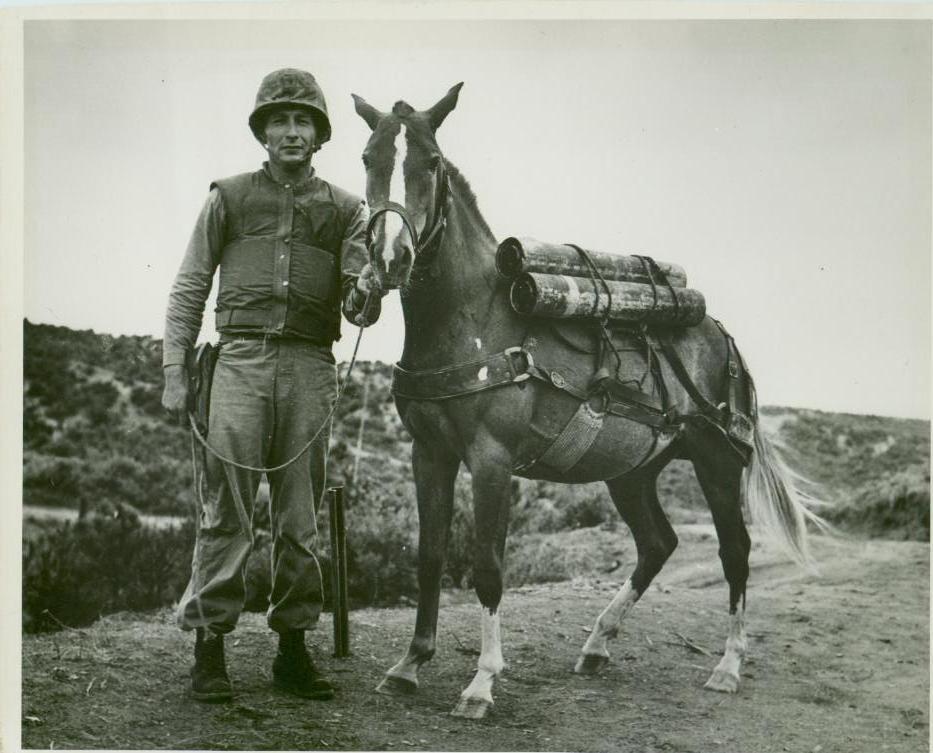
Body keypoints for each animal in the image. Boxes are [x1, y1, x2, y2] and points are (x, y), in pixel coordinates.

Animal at [351, 83, 823, 719]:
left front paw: (482, 681)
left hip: (717, 462)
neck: (473, 320)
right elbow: (428, 557)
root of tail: (721, 336)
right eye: (368, 159)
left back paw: (727, 665)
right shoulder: (429, 454)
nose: (390, 259)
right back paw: (598, 642)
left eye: (429, 162)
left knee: (735, 551)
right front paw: (409, 664)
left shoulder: (492, 459)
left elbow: (487, 566)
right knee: (658, 544)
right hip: (632, 472)